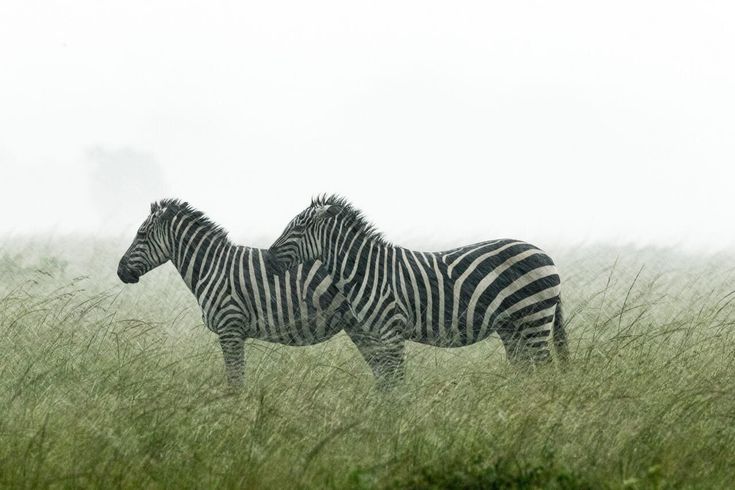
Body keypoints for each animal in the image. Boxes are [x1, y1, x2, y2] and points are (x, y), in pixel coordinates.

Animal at [117, 199, 356, 387]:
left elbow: (235, 382)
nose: (120, 271)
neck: (212, 267)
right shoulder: (234, 331)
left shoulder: (230, 328)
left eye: (141, 234)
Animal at [269, 195, 568, 386]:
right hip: (511, 326)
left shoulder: (390, 328)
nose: (270, 257)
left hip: (533, 317)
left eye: (298, 228)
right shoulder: (374, 332)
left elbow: (395, 378)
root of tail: (545, 253)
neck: (366, 269)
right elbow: (386, 378)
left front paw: (398, 415)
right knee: (525, 368)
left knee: (543, 367)